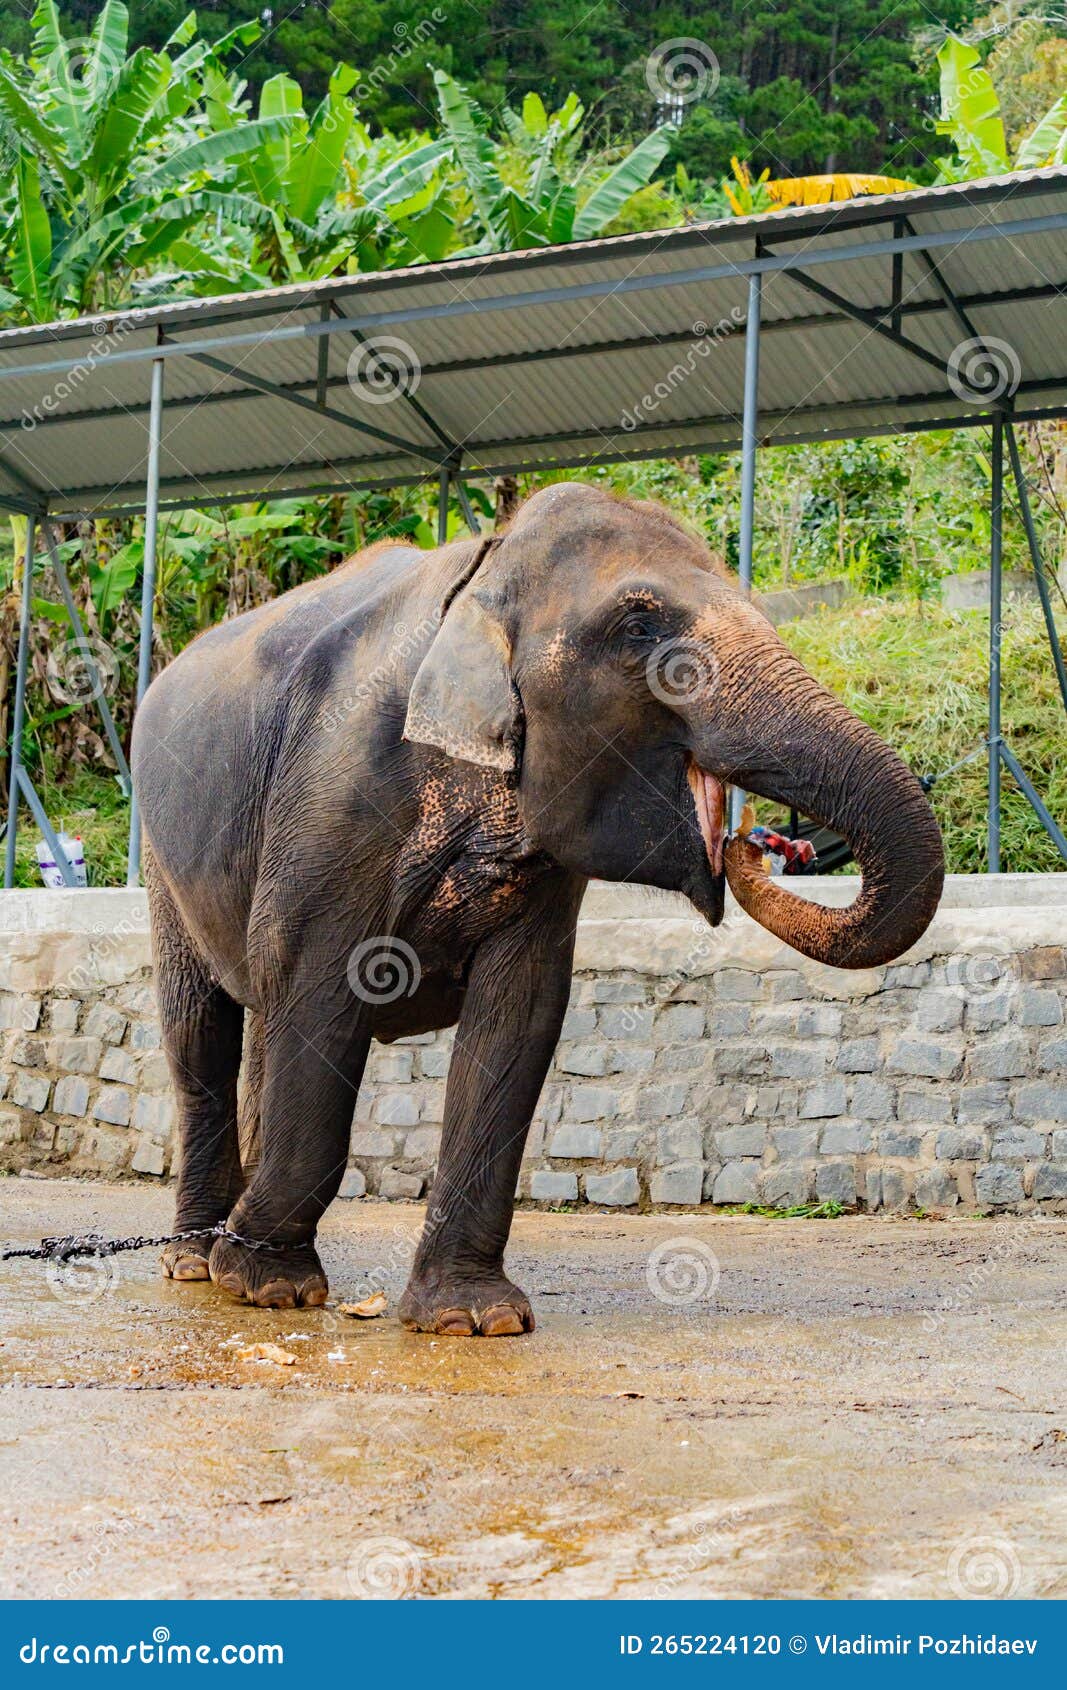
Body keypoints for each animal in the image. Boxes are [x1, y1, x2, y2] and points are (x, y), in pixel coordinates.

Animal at [131, 482, 944, 1335]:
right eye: (639, 626)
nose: (758, 845)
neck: (487, 568)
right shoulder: (331, 796)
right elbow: (320, 987)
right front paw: (269, 1287)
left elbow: (519, 1012)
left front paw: (471, 1320)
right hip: (161, 861)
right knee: (200, 1032)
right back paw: (196, 1262)